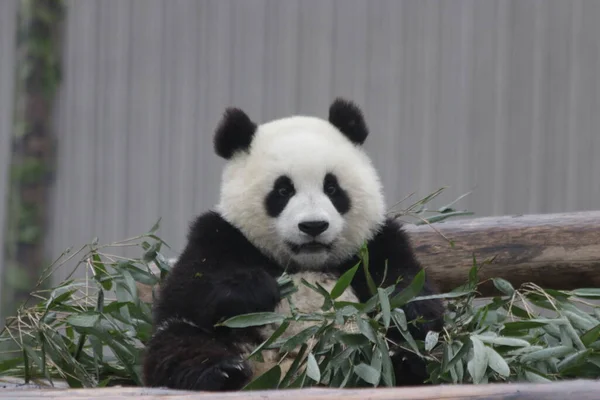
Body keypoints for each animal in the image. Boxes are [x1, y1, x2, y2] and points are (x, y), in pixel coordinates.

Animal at [143, 98, 446, 392]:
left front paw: (408, 309)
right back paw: (223, 372)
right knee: (179, 343)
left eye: (332, 188)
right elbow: (188, 290)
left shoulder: (375, 242)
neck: (305, 263)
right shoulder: (221, 236)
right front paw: (256, 287)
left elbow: (408, 286)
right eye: (283, 190)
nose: (313, 226)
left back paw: (403, 361)